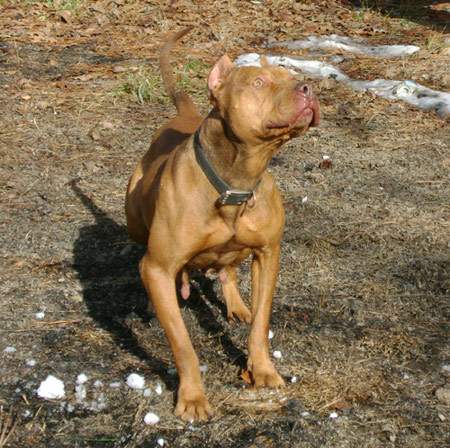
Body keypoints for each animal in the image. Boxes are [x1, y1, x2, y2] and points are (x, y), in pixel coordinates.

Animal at [125, 27, 318, 420]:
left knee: (227, 269)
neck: (236, 178)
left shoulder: (267, 255)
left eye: (292, 76)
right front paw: (192, 398)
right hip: (134, 217)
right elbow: (182, 343)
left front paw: (263, 371)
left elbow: (261, 323)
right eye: (259, 82)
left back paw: (235, 304)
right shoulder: (159, 266)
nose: (308, 88)